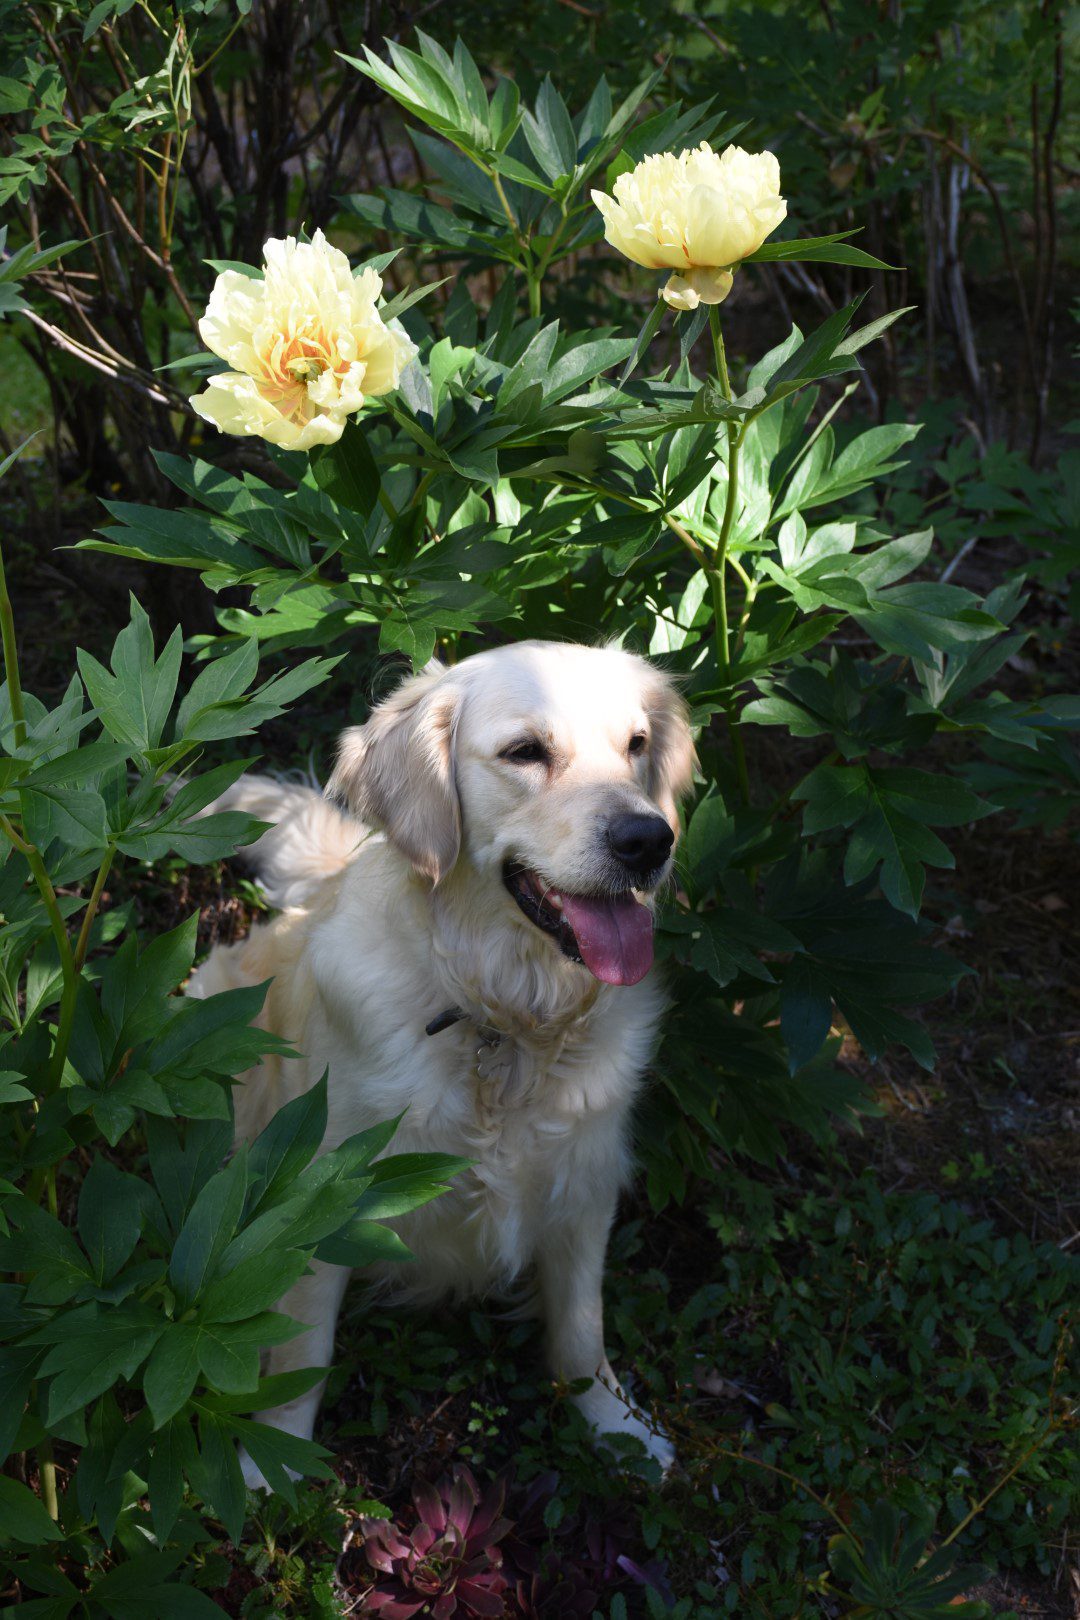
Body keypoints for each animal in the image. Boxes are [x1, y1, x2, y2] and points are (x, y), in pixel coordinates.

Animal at [187, 640, 694, 1485]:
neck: (503, 1021)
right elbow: (301, 1356)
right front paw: (278, 1464)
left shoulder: (584, 1181)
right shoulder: (324, 1195)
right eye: (525, 752)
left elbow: (581, 1332)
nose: (648, 840)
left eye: (636, 745)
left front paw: (617, 1428)